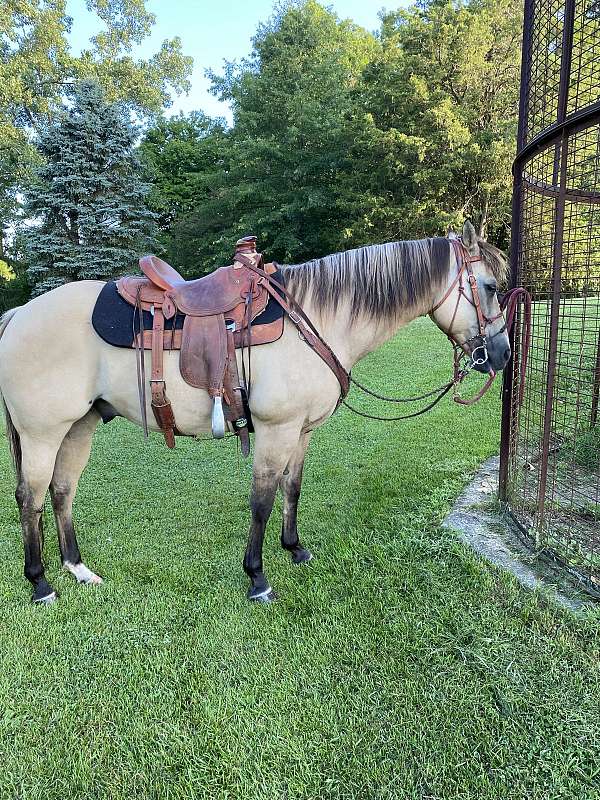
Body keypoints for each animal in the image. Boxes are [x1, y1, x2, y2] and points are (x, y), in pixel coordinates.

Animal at [2, 222, 512, 604]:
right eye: (489, 287)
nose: (503, 355)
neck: (314, 318)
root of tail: (19, 313)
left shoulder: (302, 431)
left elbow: (292, 488)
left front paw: (295, 549)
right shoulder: (275, 429)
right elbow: (262, 500)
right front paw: (257, 577)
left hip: (78, 427)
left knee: (62, 491)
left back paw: (77, 568)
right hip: (42, 433)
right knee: (31, 498)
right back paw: (40, 583)